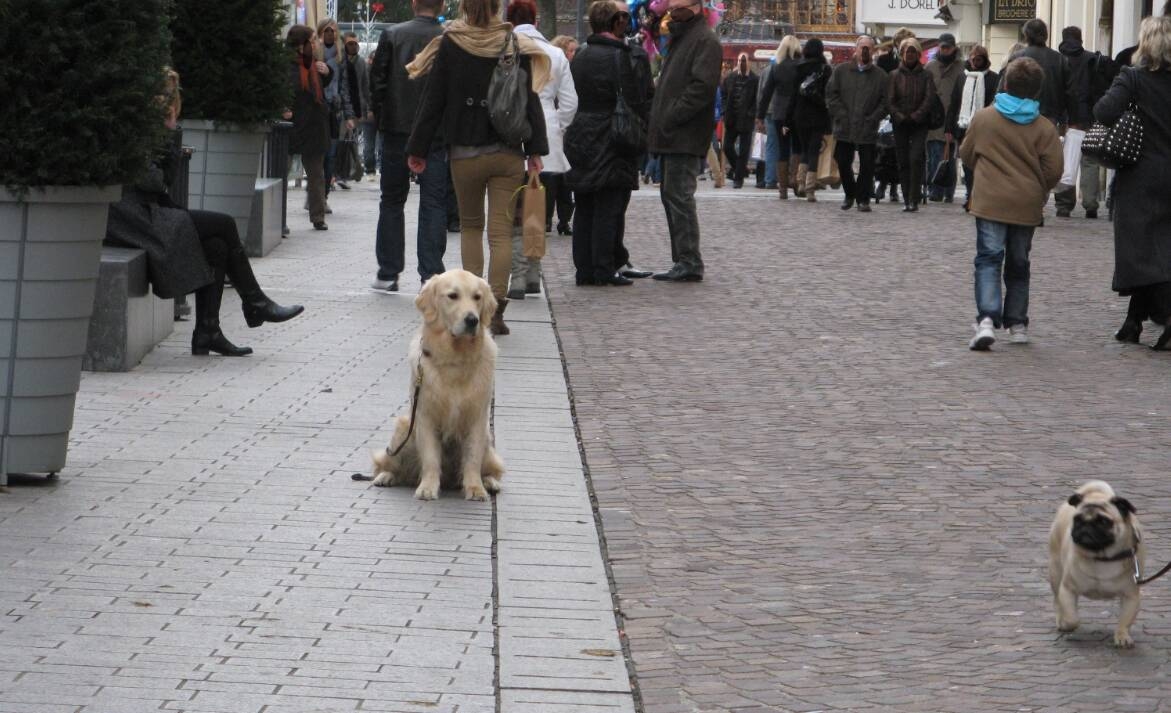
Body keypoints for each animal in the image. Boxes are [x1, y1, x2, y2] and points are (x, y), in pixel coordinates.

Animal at [372, 268, 505, 501]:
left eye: (477, 297)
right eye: (453, 296)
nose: (472, 320)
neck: (455, 359)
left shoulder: (477, 418)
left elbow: (472, 459)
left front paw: (475, 488)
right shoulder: (425, 416)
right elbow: (431, 459)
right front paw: (427, 488)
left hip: (488, 441)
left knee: (491, 468)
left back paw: (489, 482)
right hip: (404, 430)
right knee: (391, 466)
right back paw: (386, 476)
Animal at [1049, 480, 1138, 646]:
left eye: (1103, 521)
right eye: (1077, 519)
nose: (1086, 526)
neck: (1102, 557)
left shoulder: (1131, 595)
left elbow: (1125, 620)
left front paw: (1122, 636)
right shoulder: (1067, 589)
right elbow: (1072, 618)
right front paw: (1067, 624)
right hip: (1055, 573)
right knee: (1057, 600)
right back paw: (1060, 620)